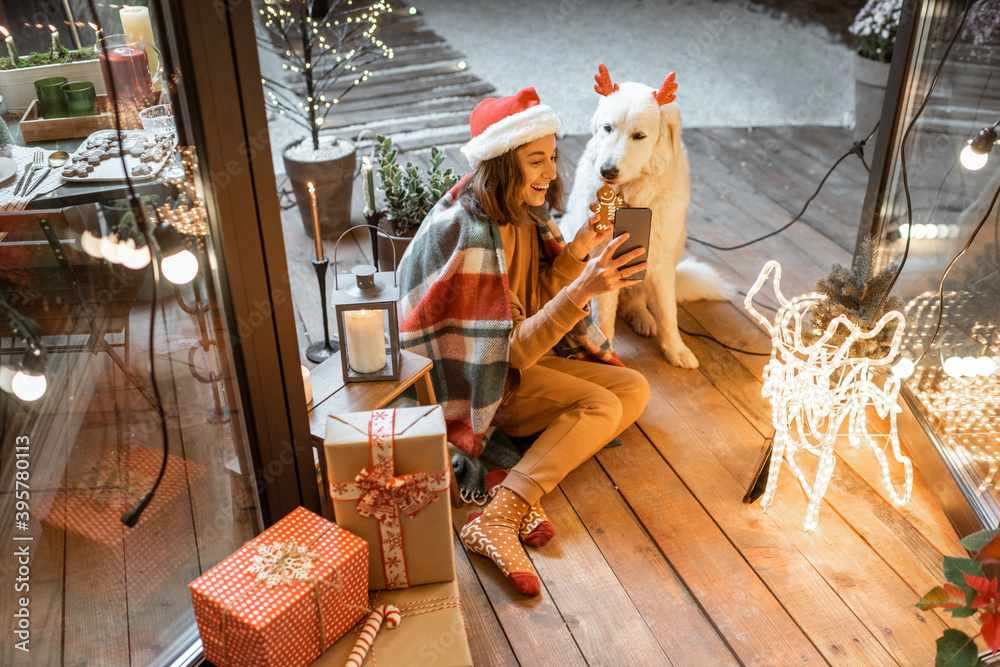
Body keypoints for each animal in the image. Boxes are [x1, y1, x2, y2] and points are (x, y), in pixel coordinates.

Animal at [564, 66, 736, 370]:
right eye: (607, 128)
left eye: (639, 136)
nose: (607, 171)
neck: (632, 195)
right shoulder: (602, 263)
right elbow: (604, 317)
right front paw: (607, 356)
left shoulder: (661, 264)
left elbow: (668, 313)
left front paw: (676, 350)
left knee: (638, 302)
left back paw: (642, 318)